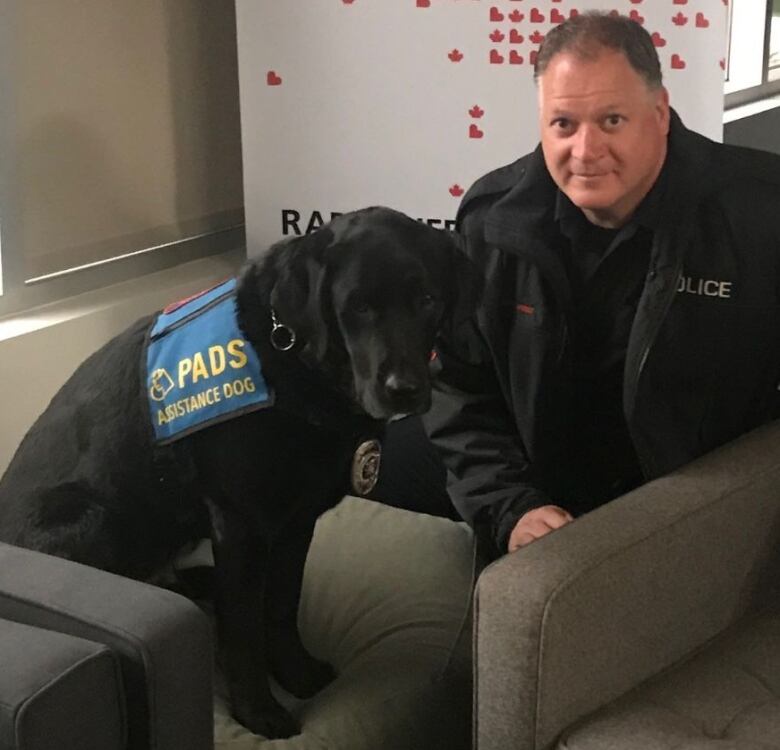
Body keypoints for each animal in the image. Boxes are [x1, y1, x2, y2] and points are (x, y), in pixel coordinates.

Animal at [0, 207, 476, 740]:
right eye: (357, 307)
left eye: (428, 300)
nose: (404, 389)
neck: (290, 358)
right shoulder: (241, 526)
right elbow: (245, 629)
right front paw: (258, 711)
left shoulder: (296, 522)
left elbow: (282, 605)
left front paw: (296, 672)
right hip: (92, 515)